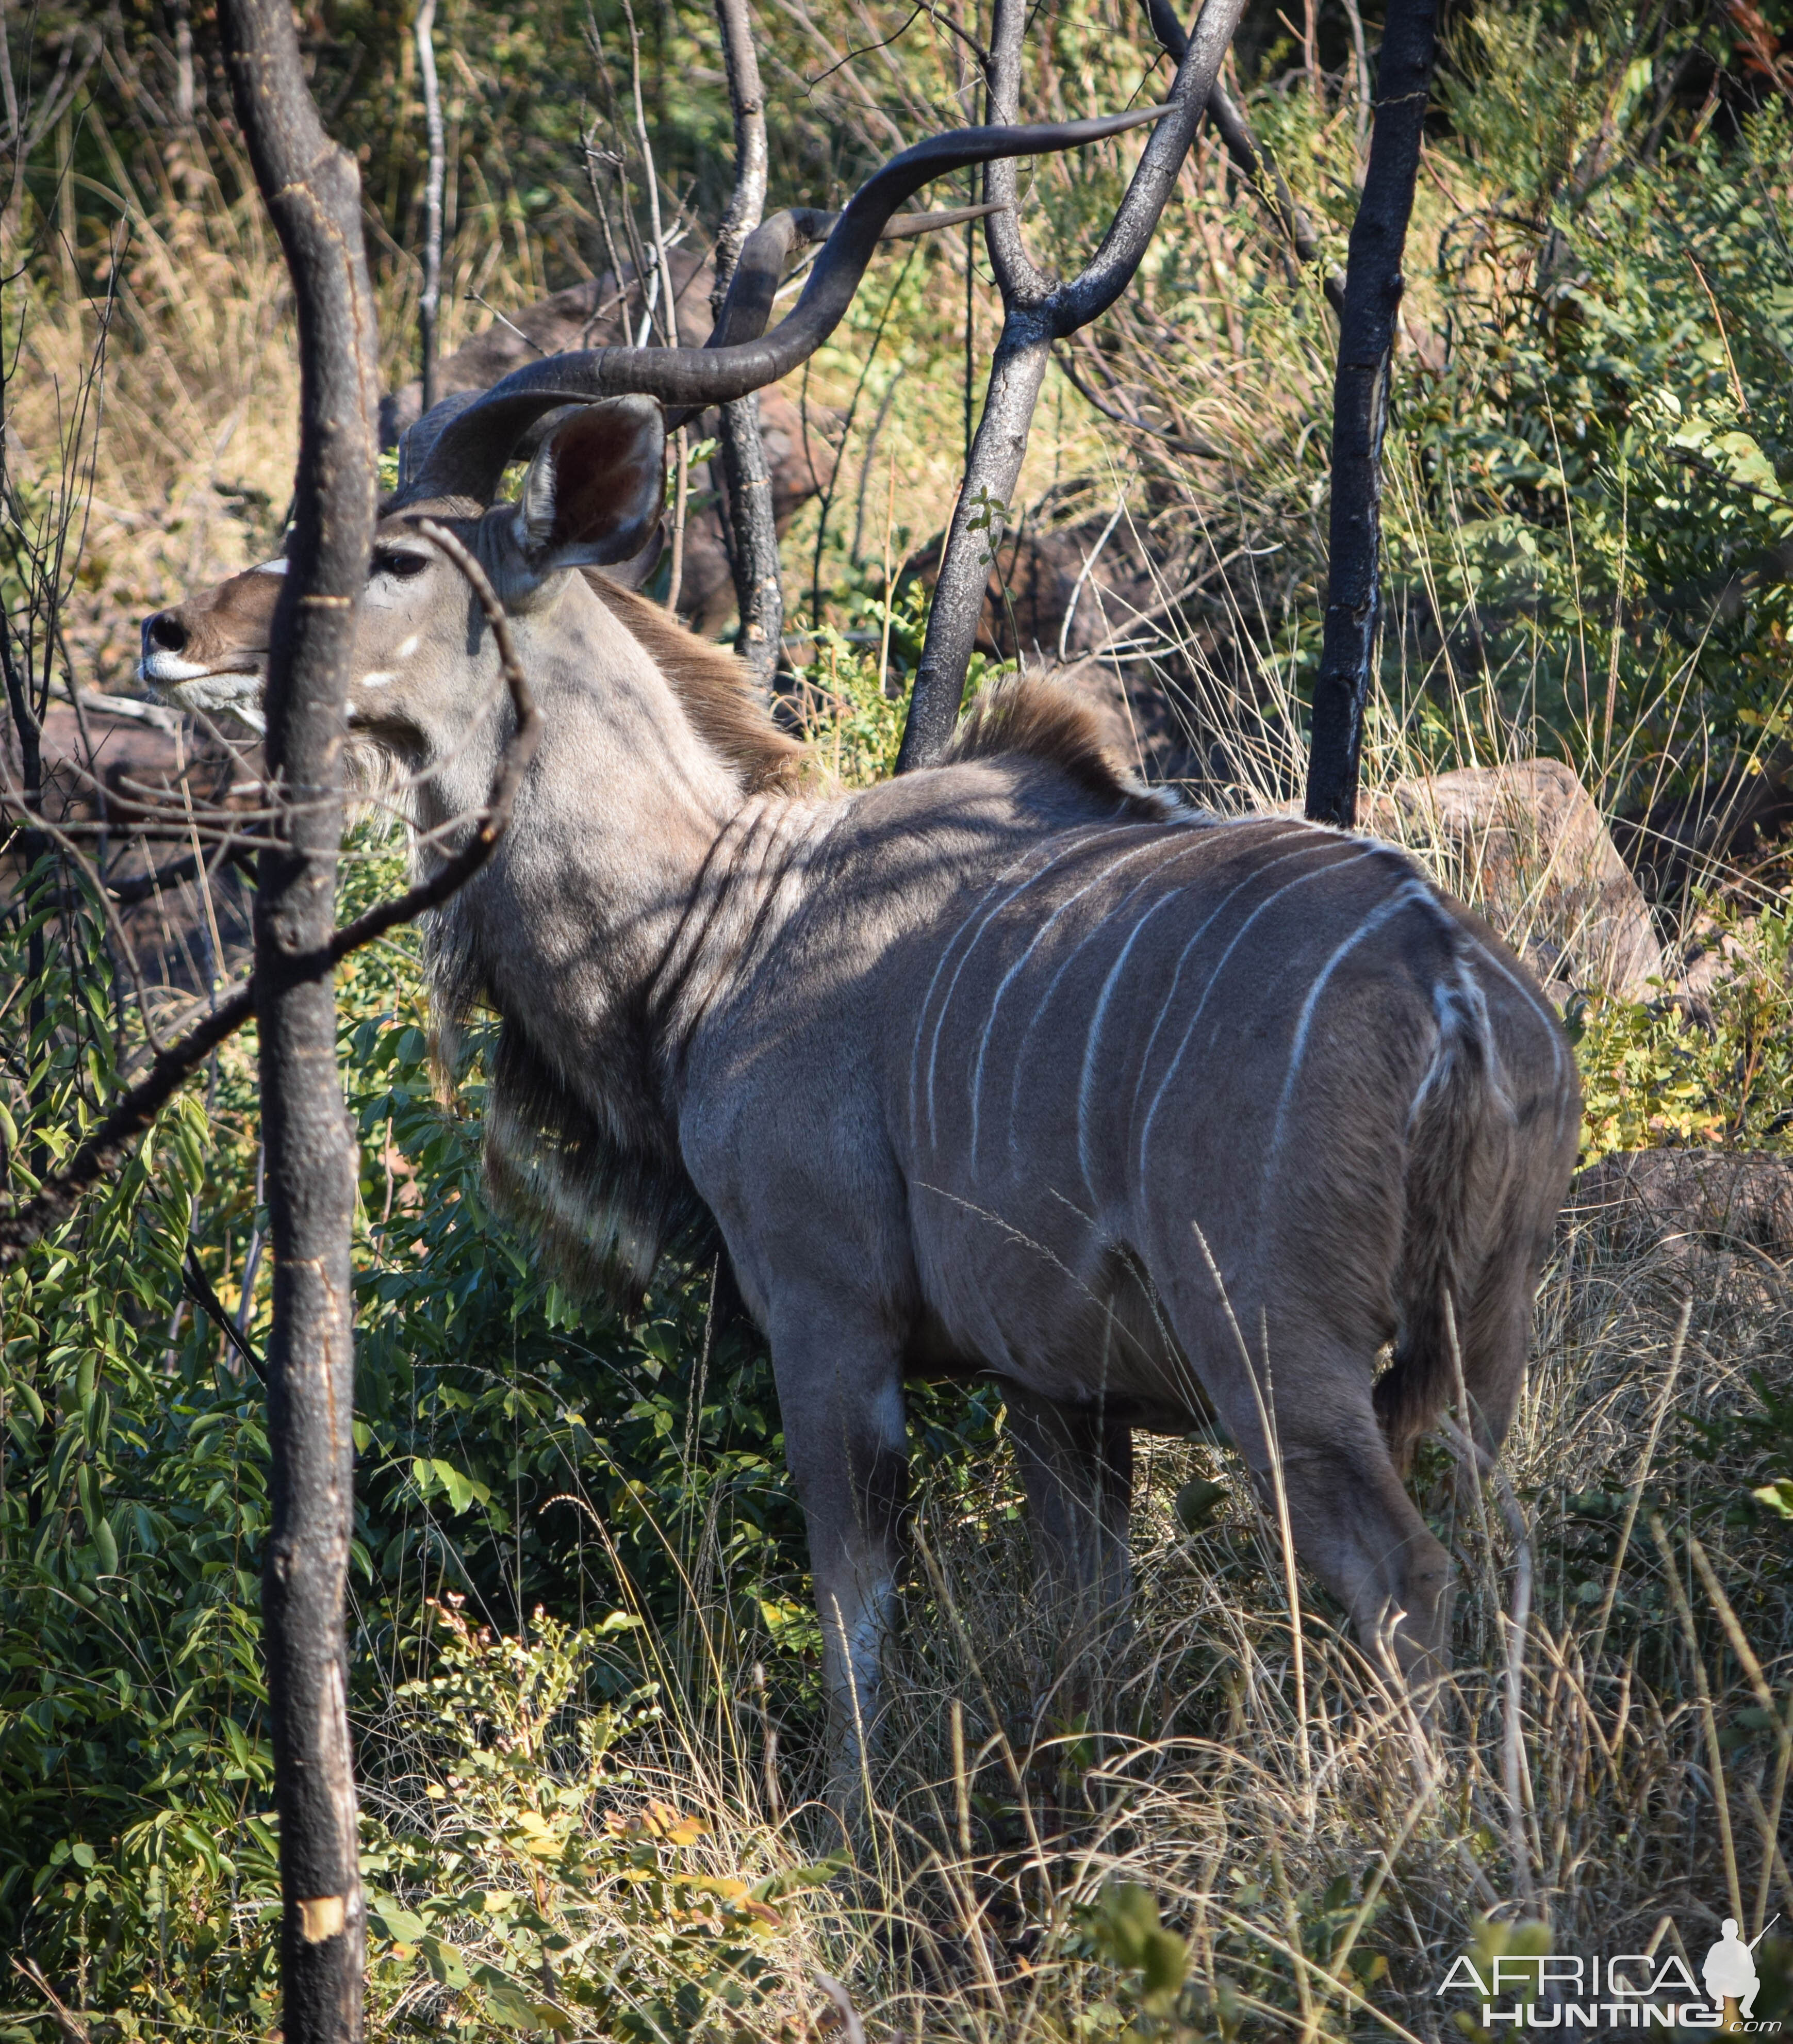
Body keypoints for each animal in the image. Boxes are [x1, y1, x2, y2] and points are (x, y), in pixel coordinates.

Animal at [143, 116, 1578, 1774]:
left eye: (393, 558)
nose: (169, 635)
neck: (718, 923)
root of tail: (1456, 996)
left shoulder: (827, 1315)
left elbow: (854, 1608)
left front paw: (852, 1827)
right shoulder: (1055, 1386)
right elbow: (1087, 1622)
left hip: (1277, 1355)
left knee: (1402, 1574)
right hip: (1479, 1339)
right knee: (1511, 1550)